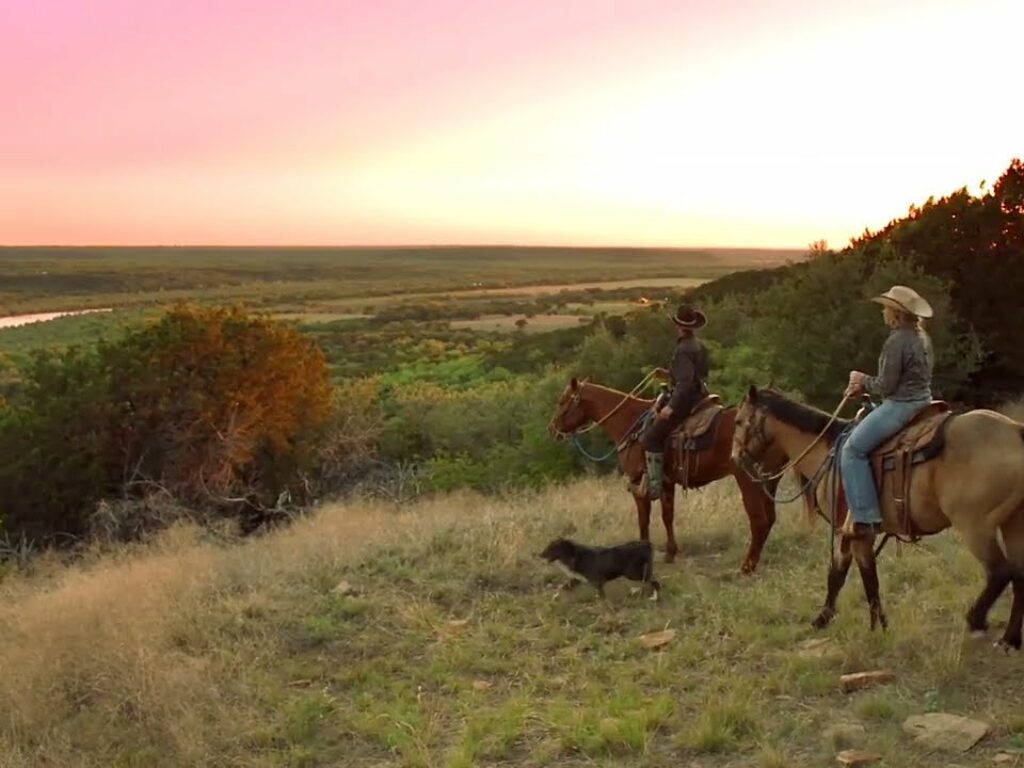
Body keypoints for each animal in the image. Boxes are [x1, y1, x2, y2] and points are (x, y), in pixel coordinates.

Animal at [548, 376, 802, 573]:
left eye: (562, 401)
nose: (552, 429)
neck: (630, 422)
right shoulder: (667, 483)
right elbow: (667, 516)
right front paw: (670, 553)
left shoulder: (638, 484)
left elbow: (644, 520)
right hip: (769, 482)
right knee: (769, 519)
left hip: (748, 482)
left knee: (759, 521)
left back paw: (747, 567)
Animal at [733, 387, 1024, 651]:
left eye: (738, 420)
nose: (735, 458)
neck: (827, 453)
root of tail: (1014, 431)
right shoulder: (852, 533)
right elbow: (842, 576)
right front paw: (828, 619)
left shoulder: (854, 532)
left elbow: (866, 578)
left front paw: (875, 626)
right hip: (1013, 524)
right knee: (1018, 573)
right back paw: (1009, 640)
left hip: (975, 526)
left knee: (1000, 572)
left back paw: (976, 620)